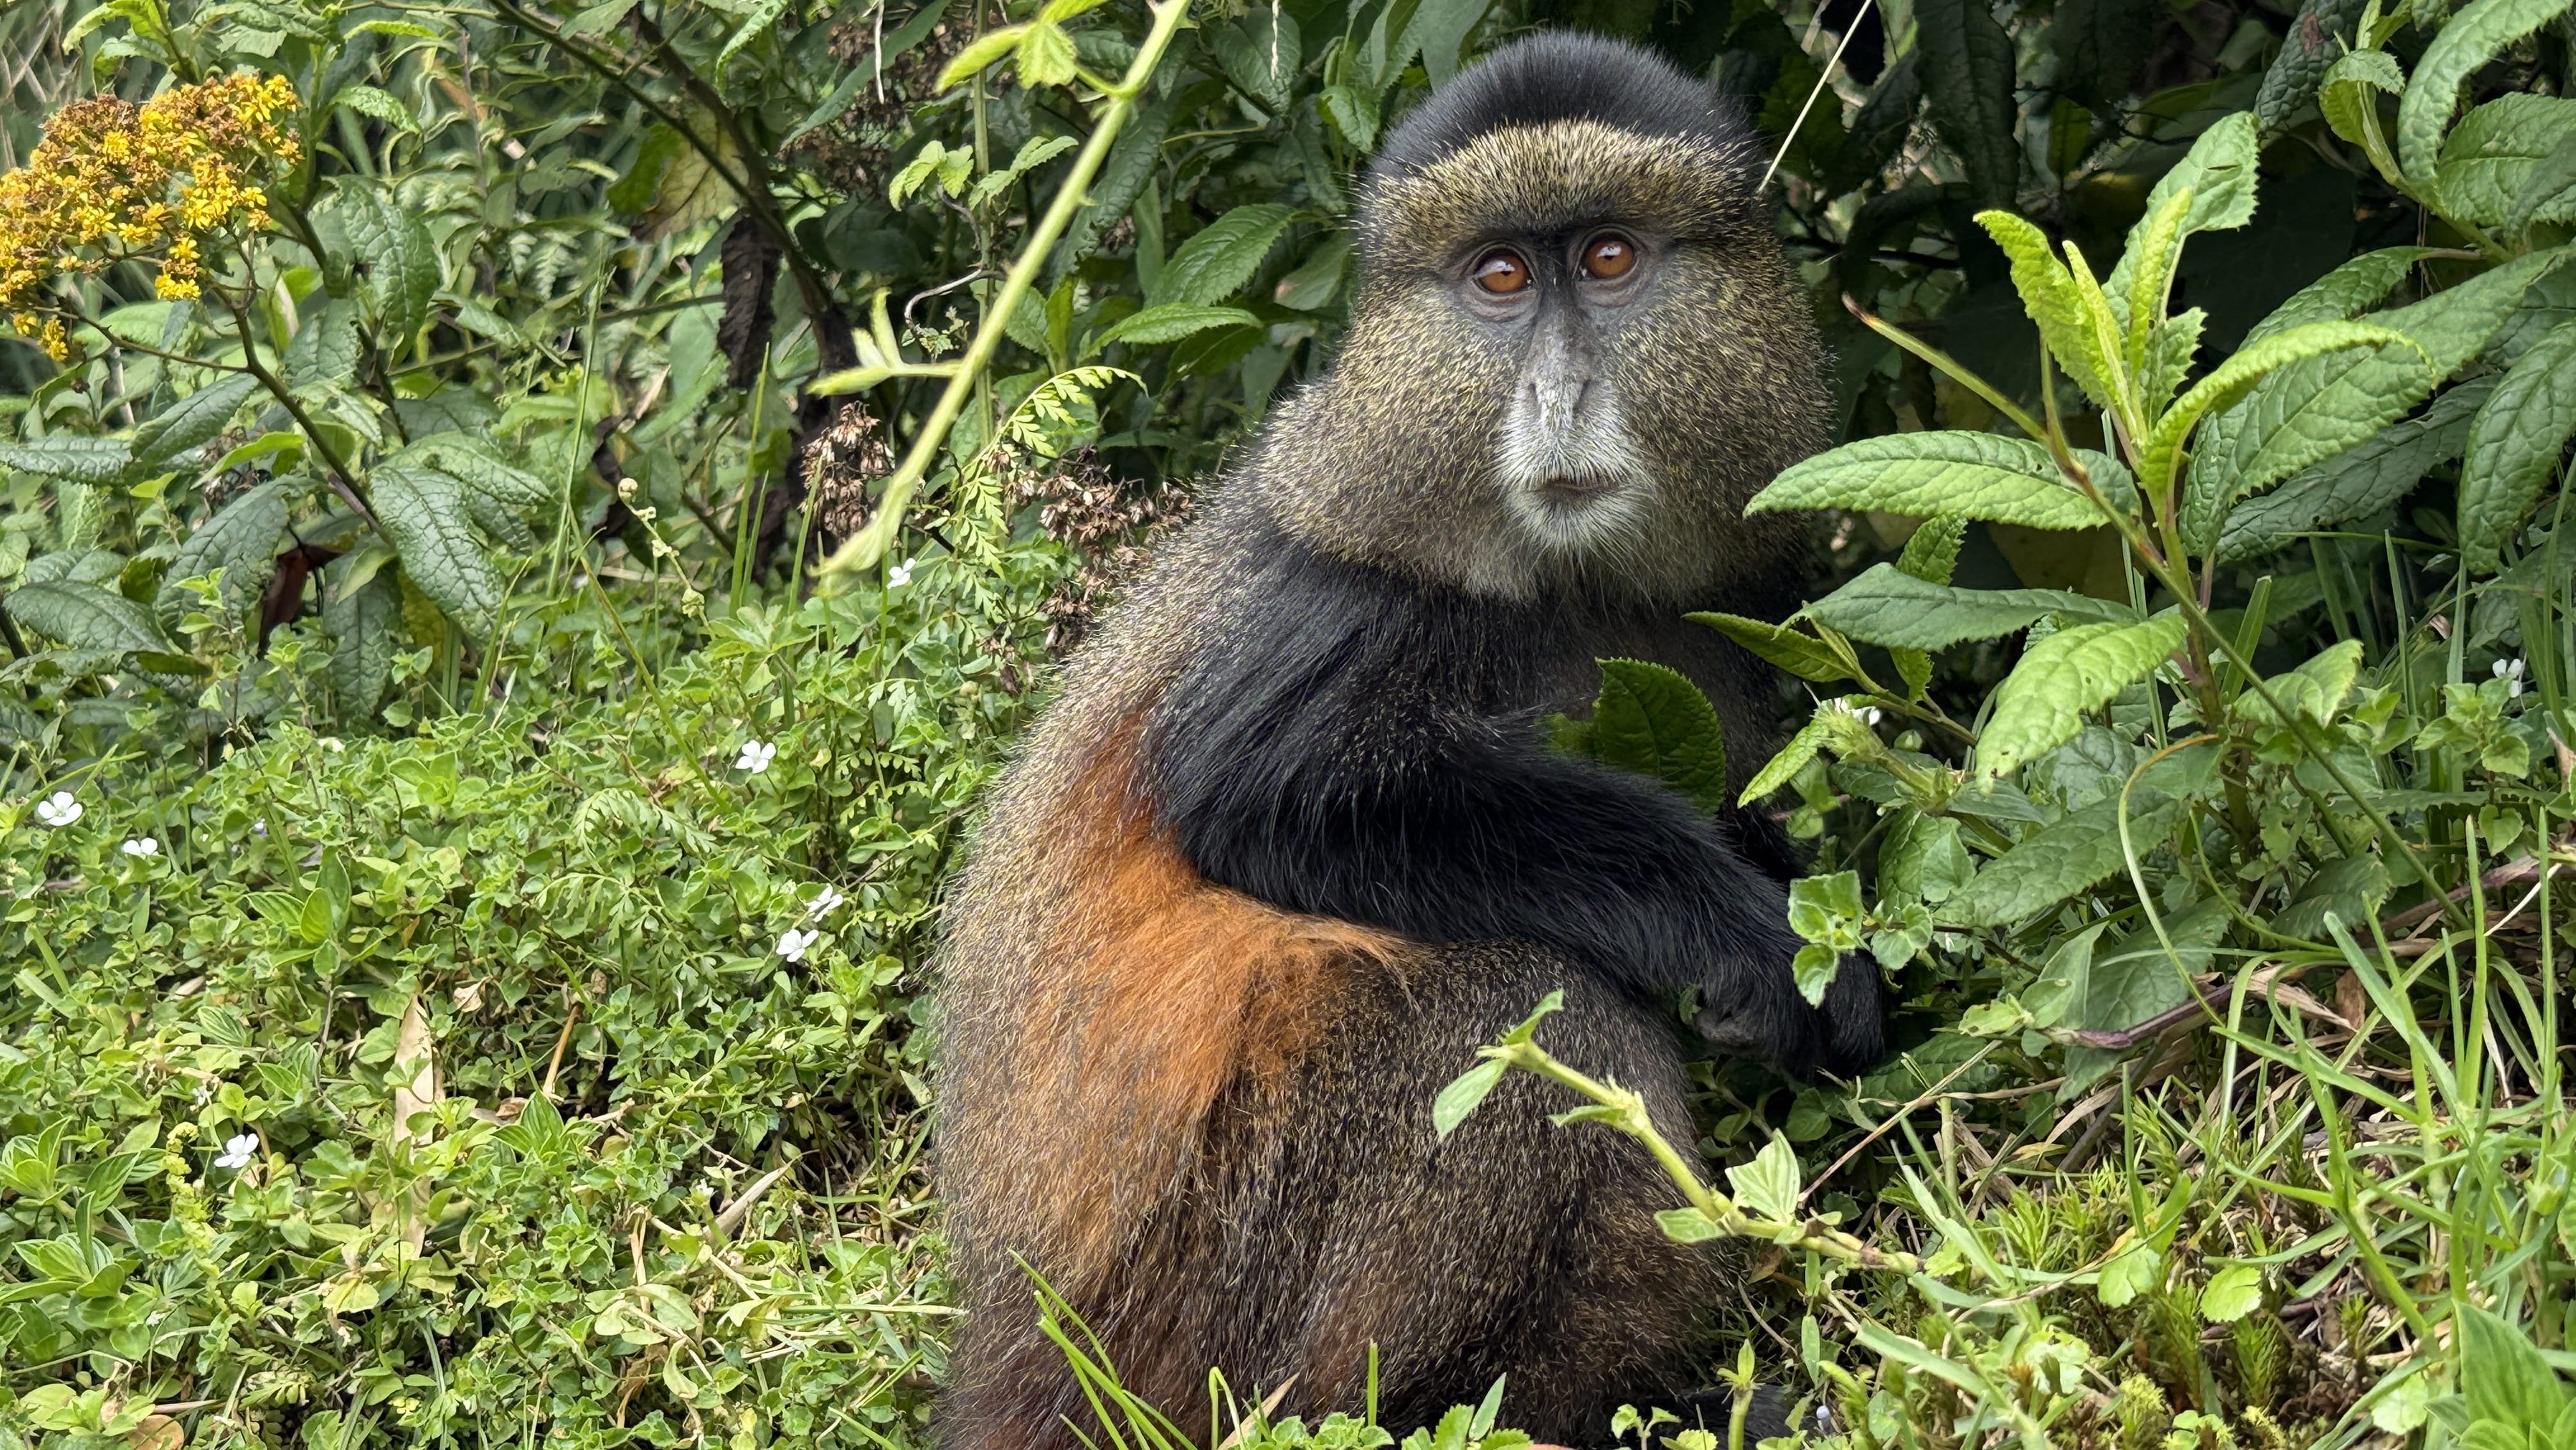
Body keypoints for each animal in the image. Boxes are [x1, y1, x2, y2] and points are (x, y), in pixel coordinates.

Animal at [932, 33, 1889, 1450]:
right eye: (1499, 278)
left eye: (1608, 259)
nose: (1557, 393)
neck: (1567, 584)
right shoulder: (1355, 594)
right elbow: (1257, 802)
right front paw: (1747, 939)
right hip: (1228, 1257)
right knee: (1522, 1004)